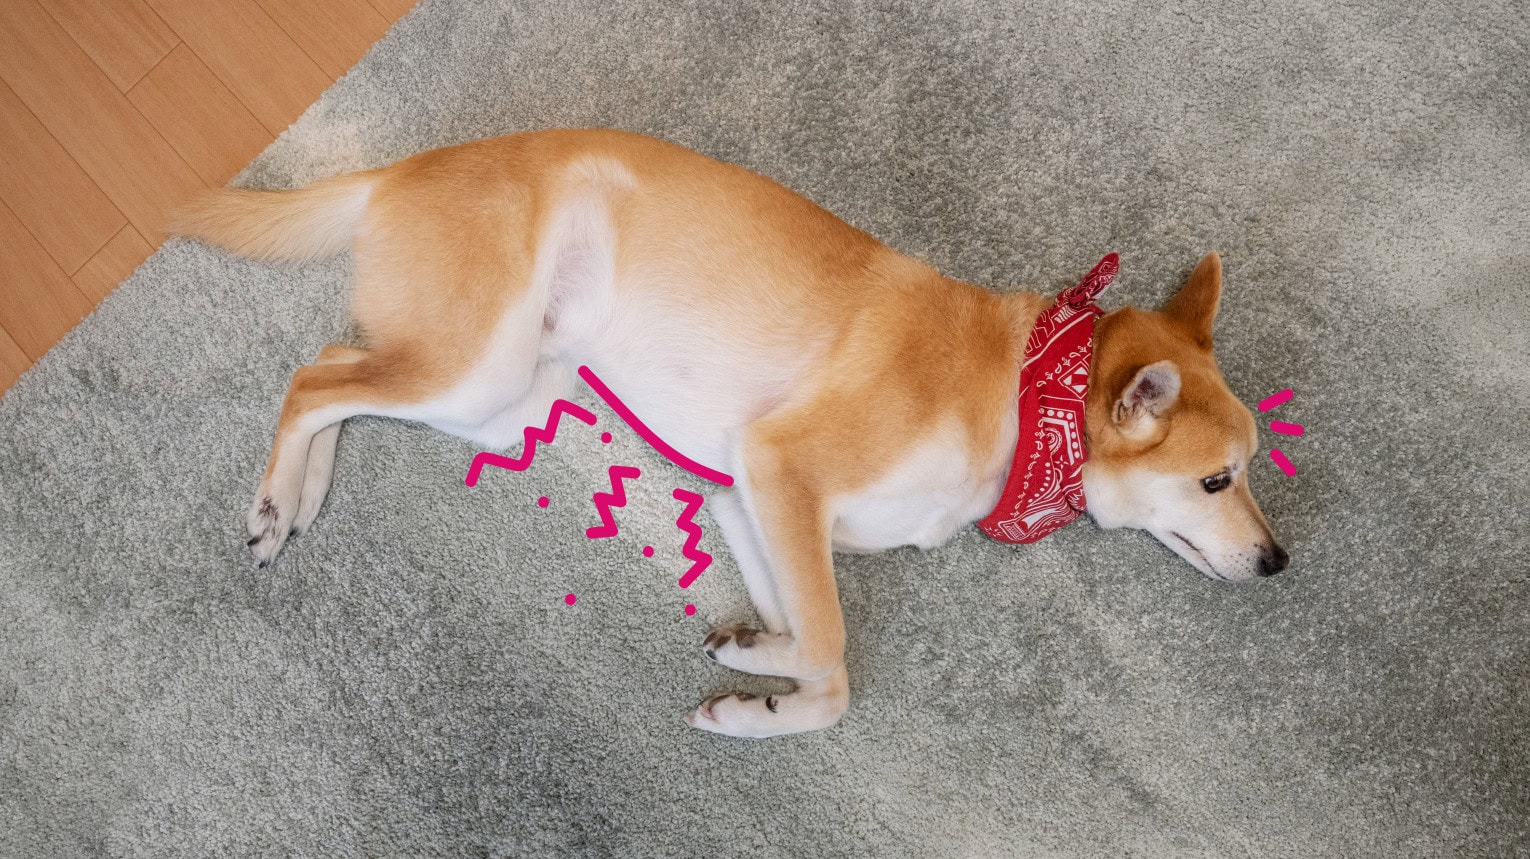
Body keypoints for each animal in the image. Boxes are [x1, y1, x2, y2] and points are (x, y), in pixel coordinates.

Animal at [173, 127, 1285, 738]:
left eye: (1247, 472)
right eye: (1219, 480)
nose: (1280, 561)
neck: (1023, 390)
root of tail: (407, 166)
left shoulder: (750, 501)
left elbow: (815, 650)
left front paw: (754, 665)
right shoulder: (783, 472)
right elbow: (835, 657)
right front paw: (771, 703)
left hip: (498, 394)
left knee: (339, 372)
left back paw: (302, 493)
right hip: (475, 366)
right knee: (313, 375)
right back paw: (275, 503)